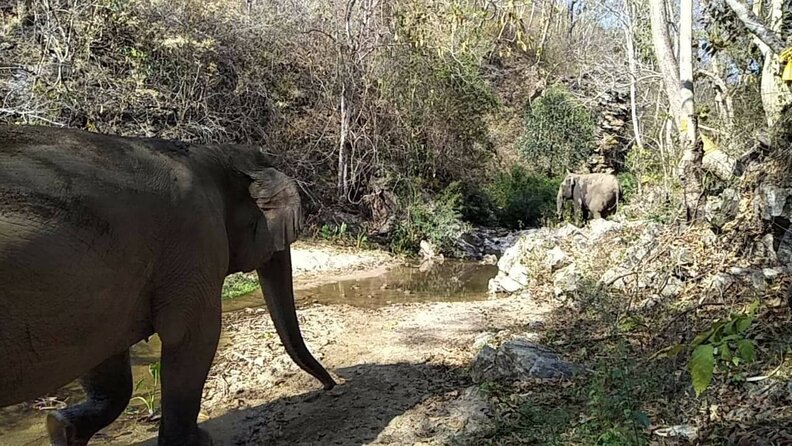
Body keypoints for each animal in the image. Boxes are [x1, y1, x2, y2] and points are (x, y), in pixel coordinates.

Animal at [0, 125, 336, 445]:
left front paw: (60, 427)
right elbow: (193, 336)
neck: (210, 154)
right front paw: (198, 441)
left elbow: (108, 362)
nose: (330, 385)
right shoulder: (195, 239)